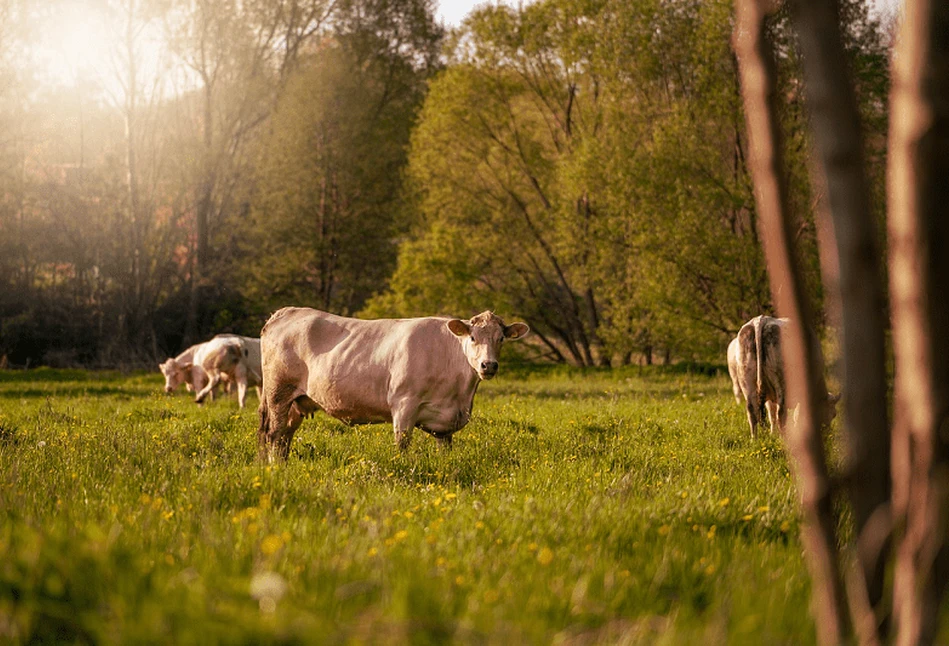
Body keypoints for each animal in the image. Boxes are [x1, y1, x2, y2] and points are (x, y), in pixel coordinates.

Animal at [256, 308, 528, 460]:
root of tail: (287, 311)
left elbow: (445, 450)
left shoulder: (446, 421)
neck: (459, 394)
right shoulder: (404, 403)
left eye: (501, 338)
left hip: (297, 401)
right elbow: (402, 444)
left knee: (284, 437)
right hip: (278, 393)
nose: (488, 365)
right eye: (472, 337)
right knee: (273, 433)